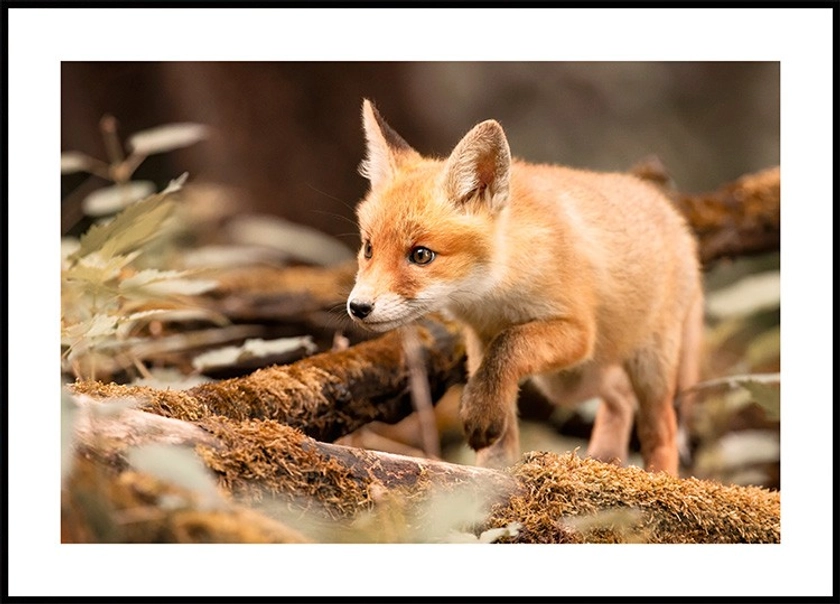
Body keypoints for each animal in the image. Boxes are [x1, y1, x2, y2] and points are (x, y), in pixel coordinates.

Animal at [346, 100, 704, 476]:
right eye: (368, 249)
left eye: (420, 255)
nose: (358, 307)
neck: (493, 295)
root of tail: (675, 216)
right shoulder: (481, 337)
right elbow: (497, 396)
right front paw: (490, 472)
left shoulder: (577, 331)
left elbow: (509, 348)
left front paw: (481, 415)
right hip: (571, 381)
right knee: (619, 396)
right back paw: (606, 458)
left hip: (642, 367)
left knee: (660, 427)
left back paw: (661, 476)